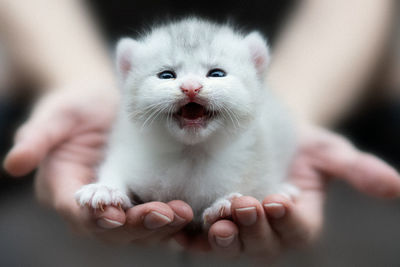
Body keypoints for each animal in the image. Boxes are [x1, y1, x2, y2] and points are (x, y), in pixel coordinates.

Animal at [75, 17, 296, 226]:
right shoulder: (130, 148)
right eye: (166, 75)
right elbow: (115, 166)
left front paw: (225, 205)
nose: (191, 87)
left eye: (217, 73)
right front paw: (105, 189)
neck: (191, 153)